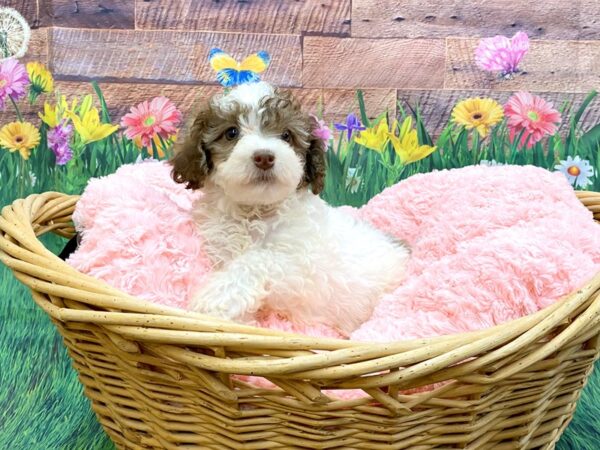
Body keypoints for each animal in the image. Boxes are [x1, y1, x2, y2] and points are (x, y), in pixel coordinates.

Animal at [171, 81, 410, 334]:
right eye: (231, 133)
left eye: (286, 135)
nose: (264, 157)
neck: (256, 211)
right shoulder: (220, 246)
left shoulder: (301, 266)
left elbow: (257, 258)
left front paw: (213, 300)